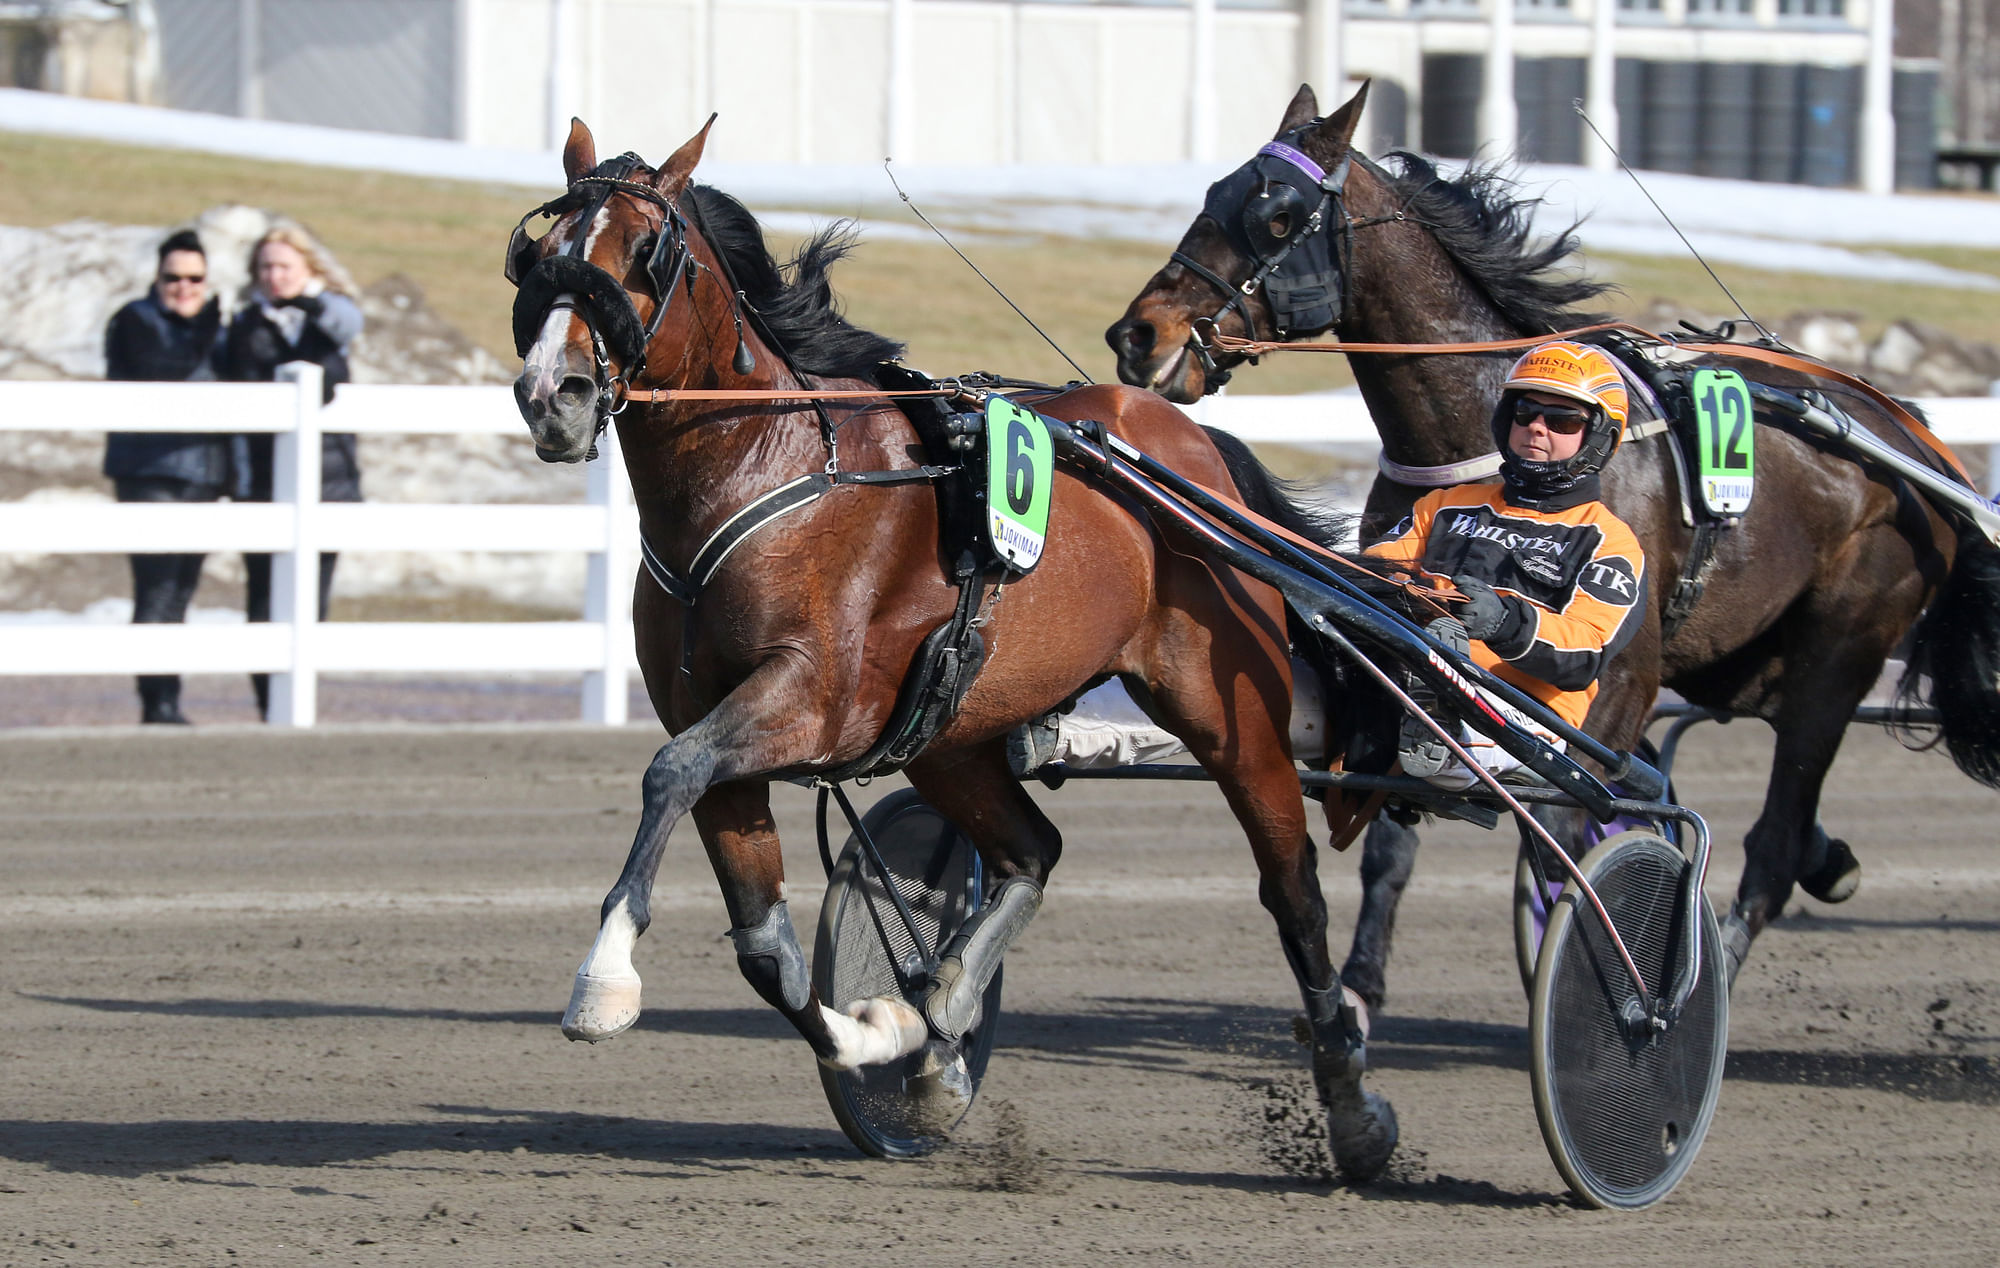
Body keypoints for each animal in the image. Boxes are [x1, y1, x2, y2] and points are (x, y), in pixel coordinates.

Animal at [508, 118, 1400, 1176]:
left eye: (644, 252)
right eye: (542, 253)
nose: (550, 393)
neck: (767, 471)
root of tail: (1189, 444)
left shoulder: (811, 700)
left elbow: (667, 771)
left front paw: (602, 981)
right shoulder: (728, 730)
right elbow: (763, 944)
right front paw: (887, 1032)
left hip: (1230, 716)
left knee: (1293, 889)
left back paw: (1351, 1100)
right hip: (951, 736)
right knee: (1032, 852)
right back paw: (945, 1025)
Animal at [1104, 81, 2000, 1008]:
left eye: (1278, 215)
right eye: (1213, 194)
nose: (1139, 335)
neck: (1494, 434)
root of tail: (1919, 439)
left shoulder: (1623, 672)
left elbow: (1569, 826)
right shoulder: (1419, 638)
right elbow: (1399, 829)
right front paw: (1361, 982)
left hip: (1843, 640)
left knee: (1776, 838)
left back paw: (1716, 957)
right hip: (1744, 655)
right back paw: (1831, 862)